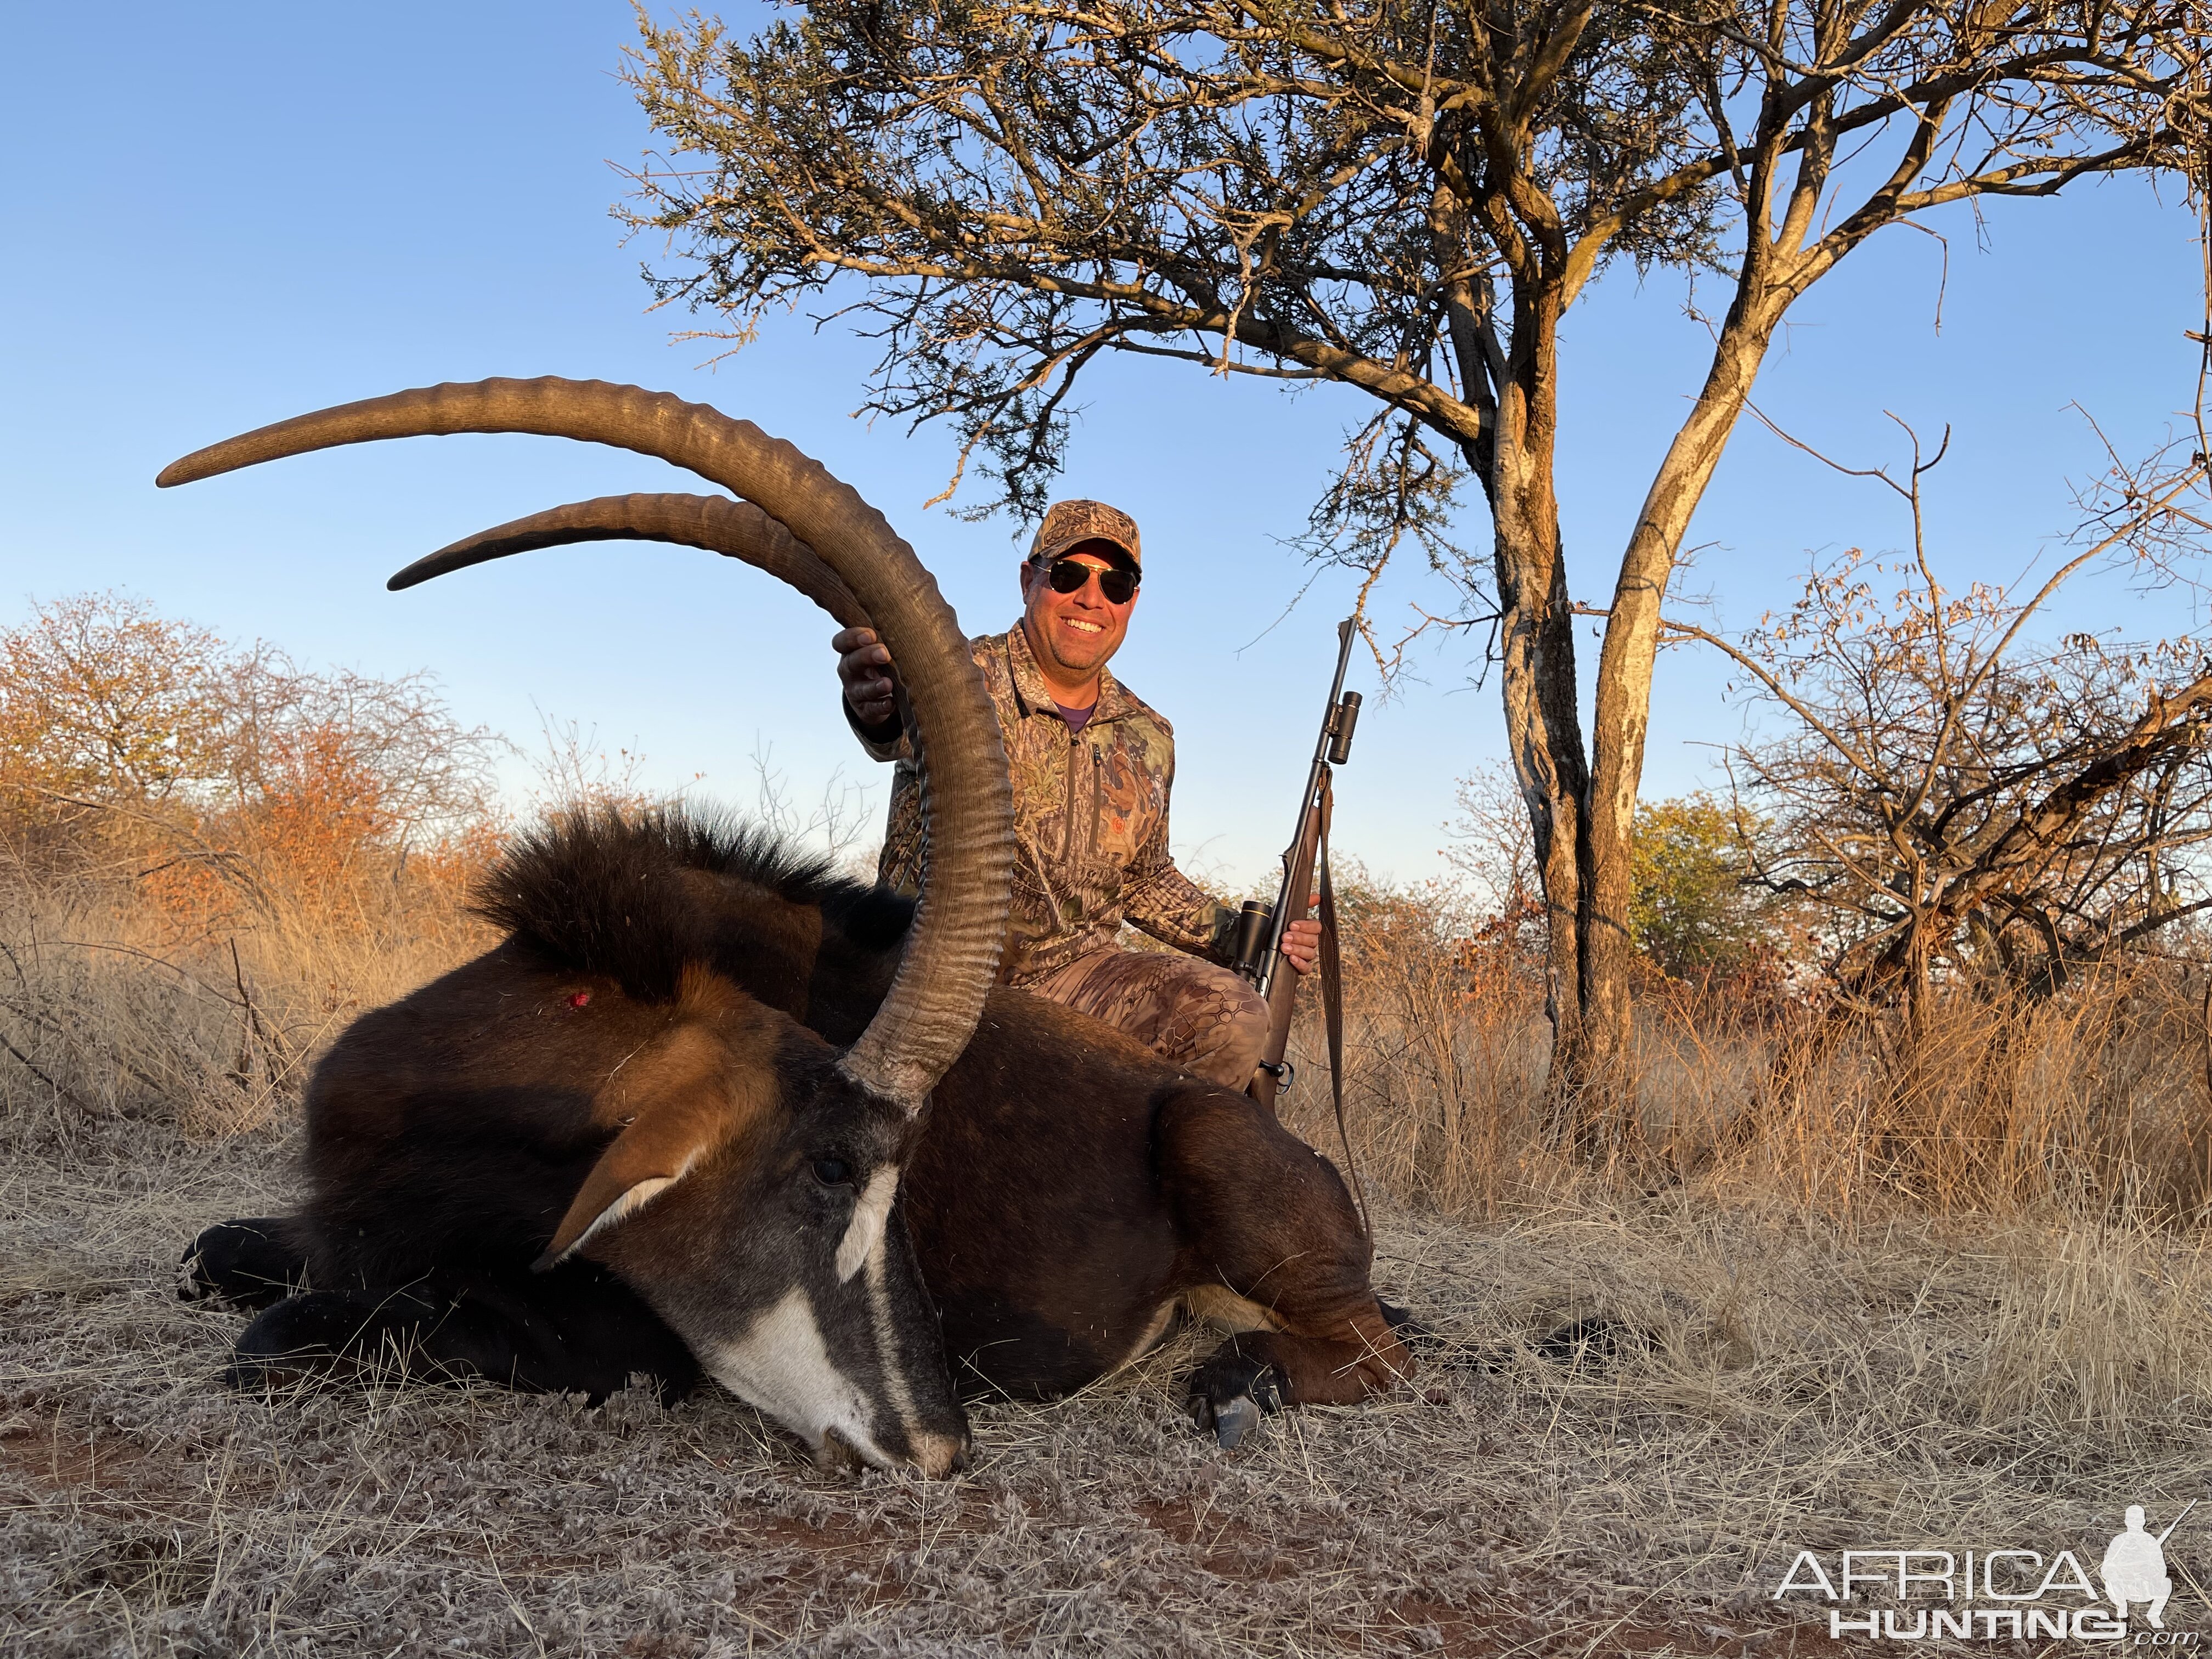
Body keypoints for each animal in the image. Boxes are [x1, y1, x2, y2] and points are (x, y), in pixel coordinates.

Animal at [172, 382, 1415, 1477]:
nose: (938, 1444)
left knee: (1384, 1351)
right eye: (829, 1166)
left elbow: (281, 1336)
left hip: (1220, 1160)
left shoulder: (623, 1340)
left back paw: (1239, 1380)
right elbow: (213, 1250)